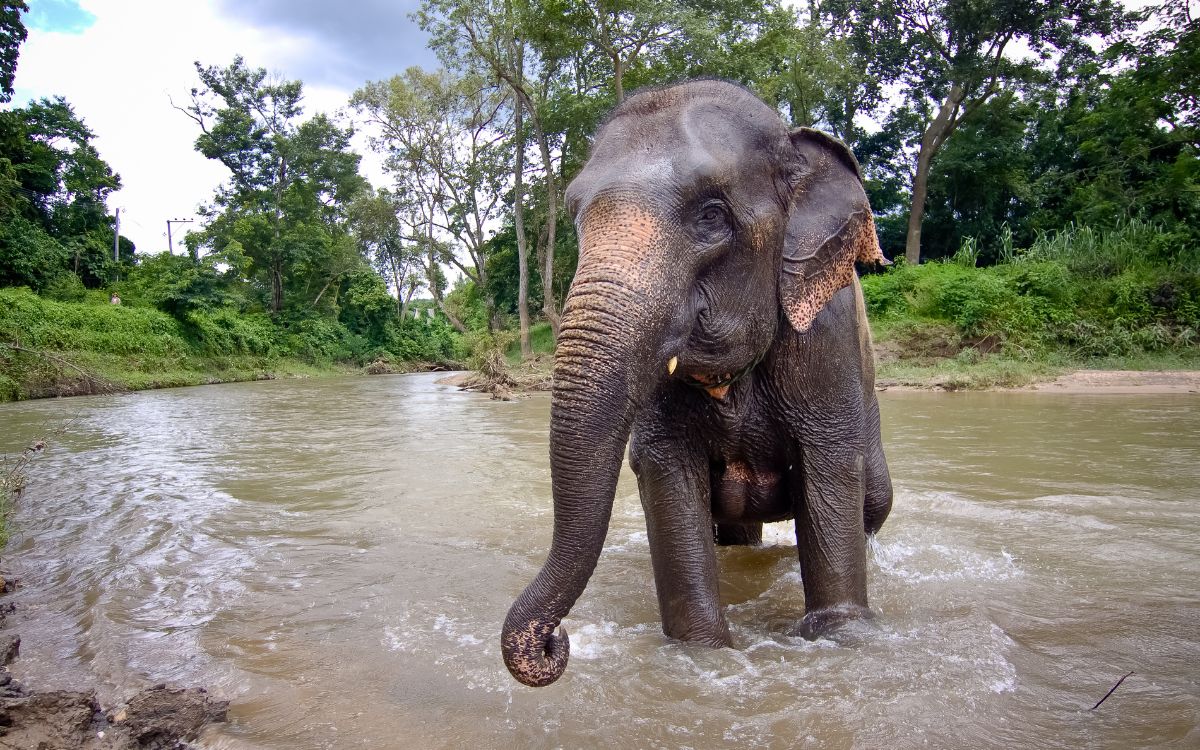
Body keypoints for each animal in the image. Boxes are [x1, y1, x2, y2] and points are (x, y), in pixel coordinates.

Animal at [496, 80, 892, 686]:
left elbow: (828, 463)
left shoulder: (826, 340)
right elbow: (667, 471)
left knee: (874, 501)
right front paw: (702, 655)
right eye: (576, 217)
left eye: (711, 215)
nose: (553, 643)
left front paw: (843, 635)